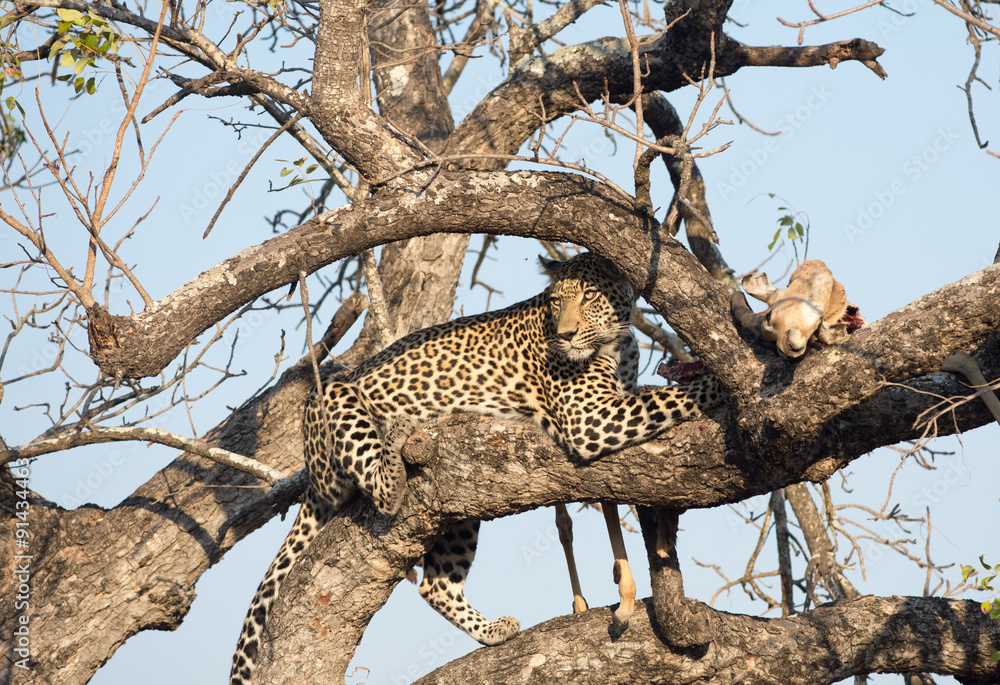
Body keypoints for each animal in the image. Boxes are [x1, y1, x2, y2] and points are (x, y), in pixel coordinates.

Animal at [230, 252, 724, 685]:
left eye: (588, 296)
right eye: (556, 301)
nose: (565, 335)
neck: (617, 343)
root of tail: (311, 467)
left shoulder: (610, 409)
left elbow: (610, 504)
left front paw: (624, 595)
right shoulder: (589, 420)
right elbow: (668, 398)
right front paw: (723, 381)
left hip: (456, 514)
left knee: (435, 585)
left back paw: (493, 630)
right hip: (331, 397)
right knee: (384, 492)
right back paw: (395, 442)